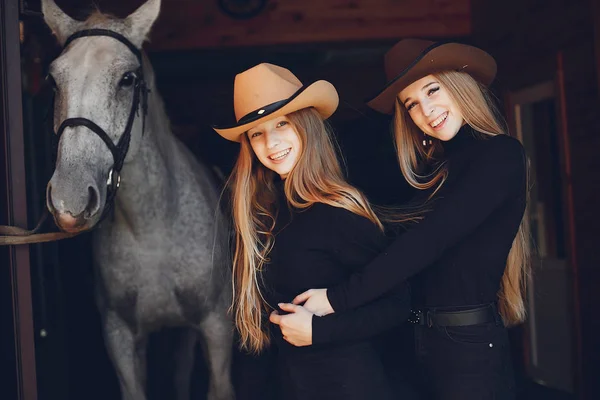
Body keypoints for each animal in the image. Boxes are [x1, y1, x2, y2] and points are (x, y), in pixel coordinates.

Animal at [41, 1, 234, 398]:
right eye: (53, 80)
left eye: (127, 79)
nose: (70, 198)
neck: (152, 230)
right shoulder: (120, 338)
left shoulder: (216, 329)